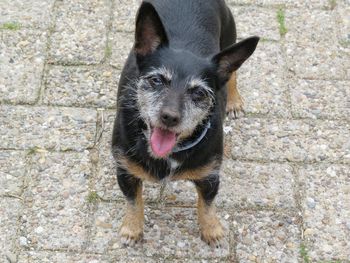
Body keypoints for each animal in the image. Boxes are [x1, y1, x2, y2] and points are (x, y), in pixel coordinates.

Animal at [113, 0, 260, 248]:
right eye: (156, 80)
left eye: (199, 93)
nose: (170, 117)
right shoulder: (125, 171)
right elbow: (133, 202)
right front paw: (132, 229)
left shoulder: (209, 177)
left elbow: (207, 206)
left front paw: (212, 231)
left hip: (230, 38)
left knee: (232, 75)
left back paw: (234, 100)